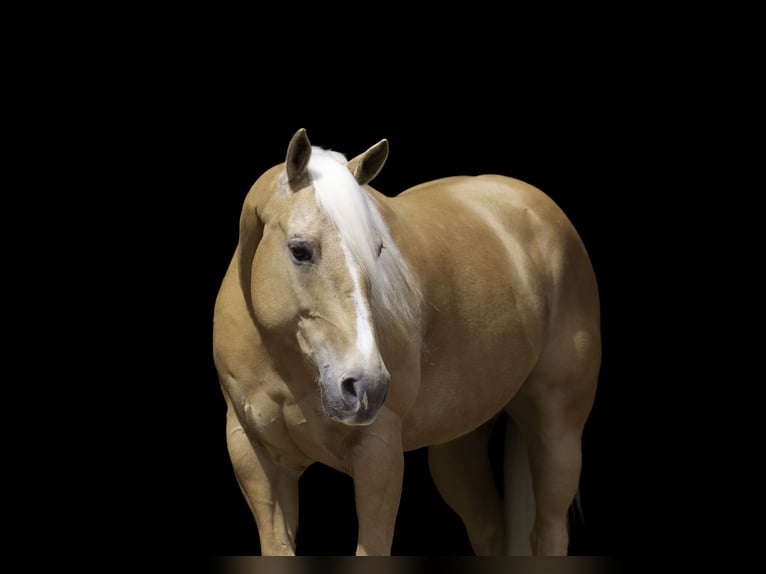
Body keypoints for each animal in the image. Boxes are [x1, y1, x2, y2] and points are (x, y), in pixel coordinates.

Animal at [212, 128, 601, 556]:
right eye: (299, 250)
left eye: (378, 250)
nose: (366, 386)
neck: (285, 364)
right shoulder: (256, 458)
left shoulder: (379, 458)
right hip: (459, 445)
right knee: (490, 530)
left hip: (558, 431)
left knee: (549, 531)